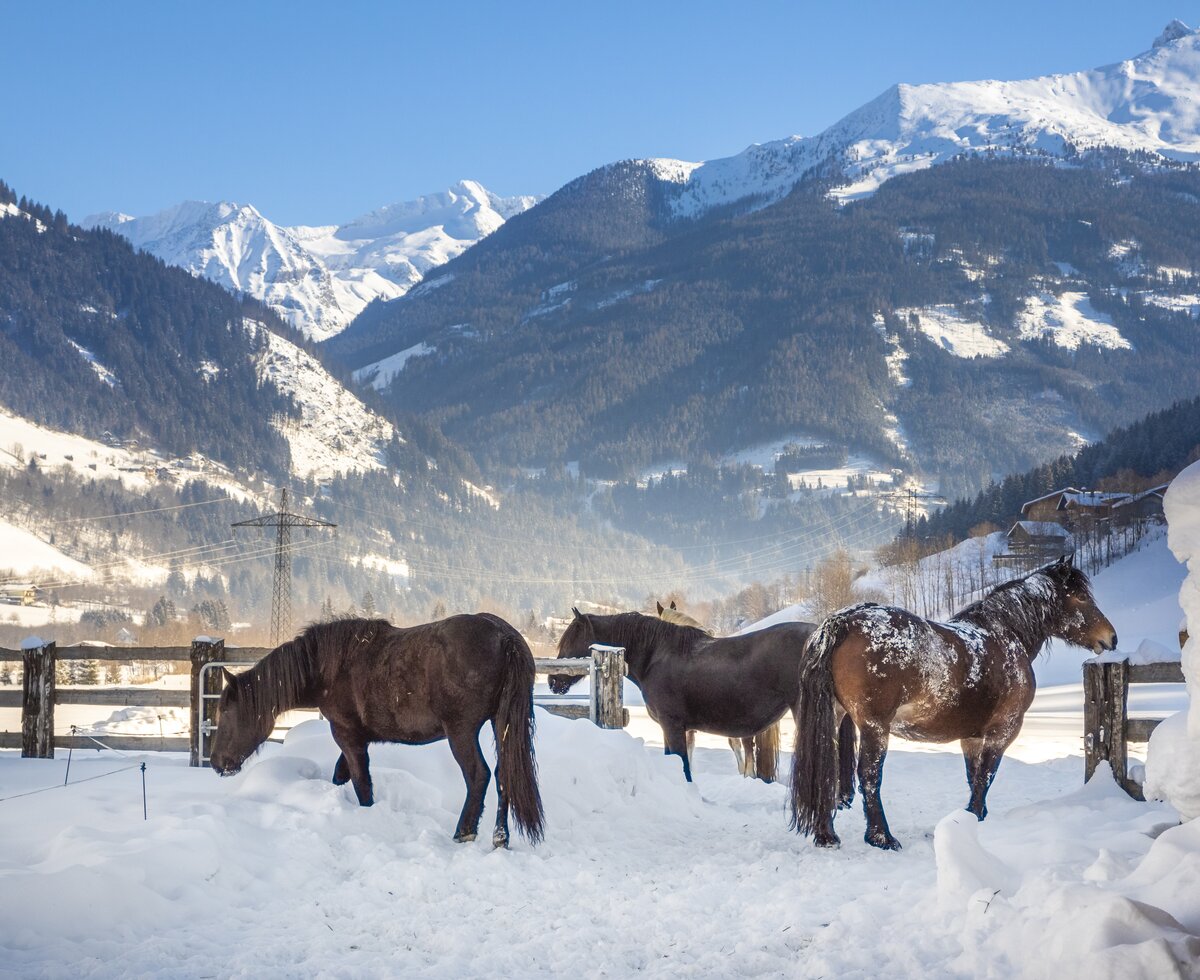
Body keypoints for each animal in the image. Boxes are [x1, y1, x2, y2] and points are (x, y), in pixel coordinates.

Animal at [210, 614, 544, 844]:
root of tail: (504, 637)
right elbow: (341, 775)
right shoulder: (357, 737)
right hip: (501, 724)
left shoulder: (345, 734)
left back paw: (464, 832)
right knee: (503, 775)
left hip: (461, 731)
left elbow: (362, 784)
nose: (216, 762)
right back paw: (500, 837)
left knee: (479, 776)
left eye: (225, 712)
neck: (327, 667)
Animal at [547, 604, 864, 786]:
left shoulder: (673, 726)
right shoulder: (682, 730)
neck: (656, 654)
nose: (552, 681)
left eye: (571, 640)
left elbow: (682, 764)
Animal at [792, 558, 1118, 849]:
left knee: (828, 772)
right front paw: (975, 816)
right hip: (874, 728)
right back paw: (882, 837)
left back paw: (826, 835)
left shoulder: (971, 737)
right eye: (1080, 597)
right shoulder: (1003, 731)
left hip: (835, 719)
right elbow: (985, 776)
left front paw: (973, 817)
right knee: (870, 777)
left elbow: (973, 776)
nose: (1111, 637)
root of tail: (844, 621)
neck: (1005, 635)